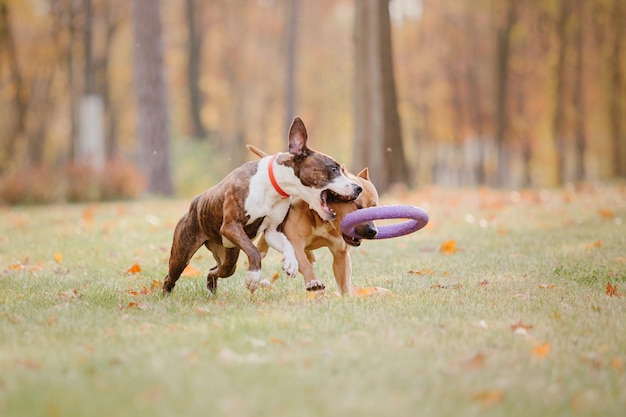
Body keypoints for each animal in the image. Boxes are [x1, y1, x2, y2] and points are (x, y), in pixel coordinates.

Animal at [162, 115, 360, 294]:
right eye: (333, 169)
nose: (358, 188)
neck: (274, 185)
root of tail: (194, 204)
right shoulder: (231, 226)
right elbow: (253, 251)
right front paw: (253, 277)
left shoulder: (272, 230)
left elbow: (287, 243)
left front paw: (291, 263)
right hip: (182, 254)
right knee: (171, 275)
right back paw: (166, 294)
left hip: (229, 258)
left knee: (214, 271)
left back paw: (212, 290)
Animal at [247, 145, 376, 294]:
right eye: (357, 205)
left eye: (375, 207)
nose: (372, 231)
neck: (322, 219)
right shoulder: (295, 241)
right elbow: (304, 263)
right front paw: (313, 281)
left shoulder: (340, 254)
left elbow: (344, 283)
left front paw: (346, 296)